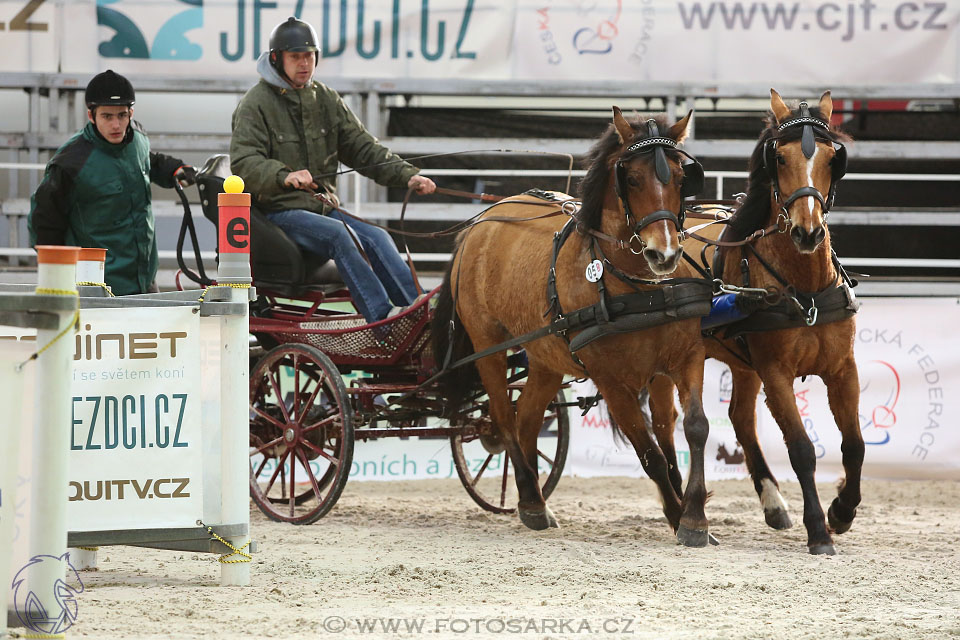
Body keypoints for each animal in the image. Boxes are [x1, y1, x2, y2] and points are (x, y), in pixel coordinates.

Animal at [432, 107, 716, 548]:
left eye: (681, 178)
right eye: (631, 179)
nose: (664, 254)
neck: (639, 287)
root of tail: (480, 224)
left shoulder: (682, 360)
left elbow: (693, 429)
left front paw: (695, 517)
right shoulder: (611, 381)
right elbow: (650, 453)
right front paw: (676, 515)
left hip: (546, 357)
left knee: (528, 419)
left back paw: (532, 500)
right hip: (488, 345)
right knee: (504, 416)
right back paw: (532, 501)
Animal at [648, 90, 860, 556]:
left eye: (832, 158)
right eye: (778, 158)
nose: (807, 232)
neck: (805, 288)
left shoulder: (842, 368)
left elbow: (854, 444)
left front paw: (843, 511)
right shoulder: (776, 372)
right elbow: (801, 449)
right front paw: (819, 531)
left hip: (743, 364)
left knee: (741, 420)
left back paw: (772, 503)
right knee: (663, 424)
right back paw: (680, 500)